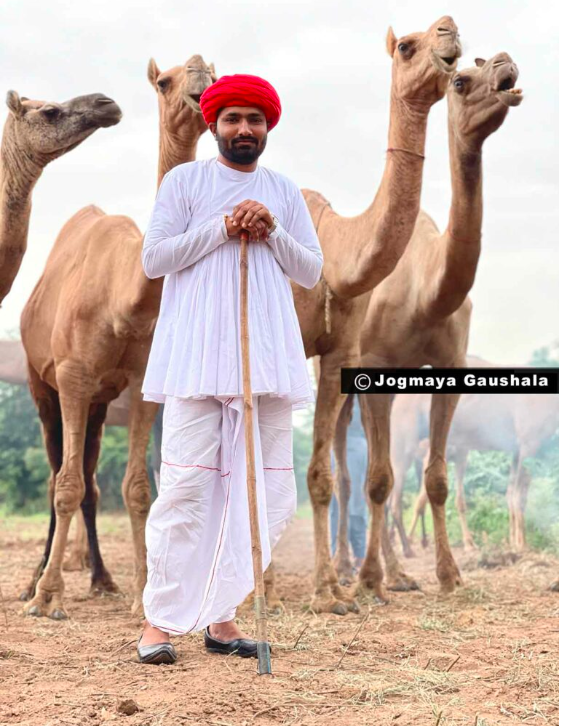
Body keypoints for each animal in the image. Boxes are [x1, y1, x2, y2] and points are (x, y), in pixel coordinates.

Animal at [19, 55, 216, 620]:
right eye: (165, 81)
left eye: (217, 76)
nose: (200, 80)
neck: (122, 300)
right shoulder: (72, 375)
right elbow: (64, 484)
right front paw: (48, 597)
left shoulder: (142, 378)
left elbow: (136, 489)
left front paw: (144, 596)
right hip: (42, 384)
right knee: (57, 473)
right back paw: (34, 580)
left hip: (102, 402)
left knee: (89, 478)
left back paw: (103, 579)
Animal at [292, 16, 461, 614]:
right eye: (406, 46)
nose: (449, 28)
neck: (334, 253)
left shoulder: (339, 350)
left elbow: (321, 473)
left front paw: (331, 592)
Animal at [334, 54, 524, 598]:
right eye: (460, 80)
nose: (504, 61)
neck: (427, 292)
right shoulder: (373, 361)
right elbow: (378, 478)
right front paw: (367, 580)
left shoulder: (449, 365)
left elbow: (433, 479)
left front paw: (448, 574)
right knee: (347, 469)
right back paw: (345, 569)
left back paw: (398, 574)